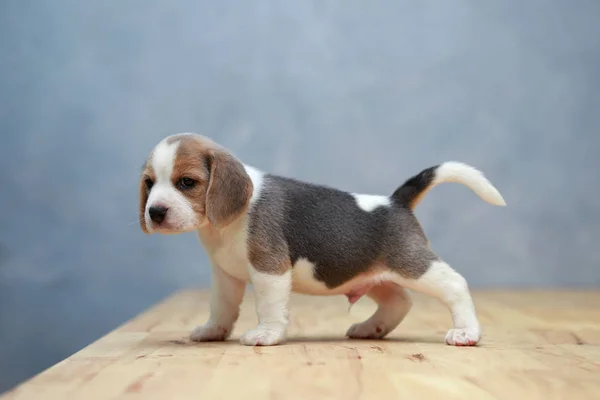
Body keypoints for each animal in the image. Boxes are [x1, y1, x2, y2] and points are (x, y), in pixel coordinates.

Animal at [141, 133, 506, 346]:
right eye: (148, 183)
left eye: (187, 182)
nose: (154, 212)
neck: (223, 224)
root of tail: (395, 202)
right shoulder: (226, 275)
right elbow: (222, 306)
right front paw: (213, 331)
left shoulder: (270, 270)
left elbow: (269, 306)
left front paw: (266, 334)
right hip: (372, 276)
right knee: (399, 301)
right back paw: (372, 328)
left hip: (413, 264)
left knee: (455, 284)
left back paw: (467, 332)